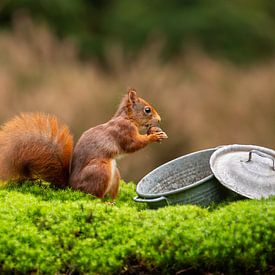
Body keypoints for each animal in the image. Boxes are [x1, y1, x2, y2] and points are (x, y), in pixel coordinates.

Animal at [0, 89, 167, 199]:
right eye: (147, 110)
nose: (159, 120)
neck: (127, 118)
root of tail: (71, 187)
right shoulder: (123, 132)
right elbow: (133, 144)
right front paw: (153, 136)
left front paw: (155, 132)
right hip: (100, 170)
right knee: (94, 197)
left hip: (114, 175)